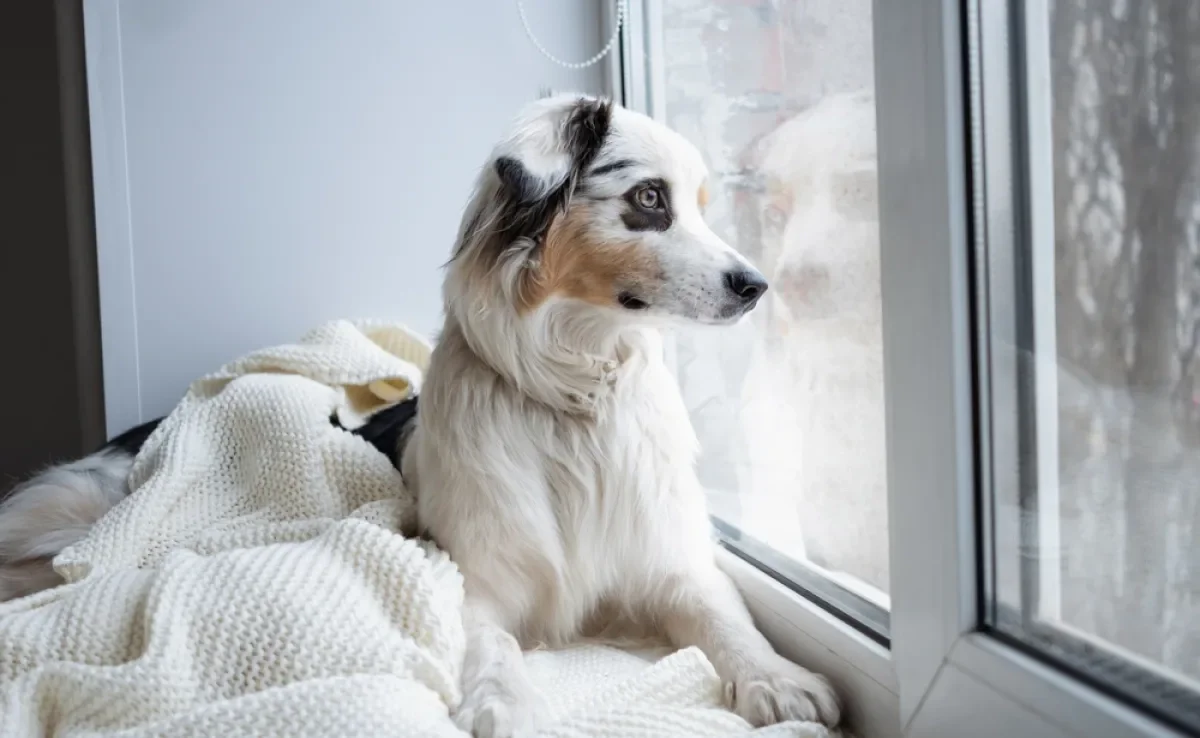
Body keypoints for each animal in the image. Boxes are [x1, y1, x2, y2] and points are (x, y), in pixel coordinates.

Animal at [0, 95, 840, 734]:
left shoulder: (667, 559)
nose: (756, 285)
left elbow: (723, 612)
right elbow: (493, 646)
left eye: (697, 205)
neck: (571, 401)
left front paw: (776, 677)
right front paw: (508, 706)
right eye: (648, 199)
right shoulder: (473, 576)